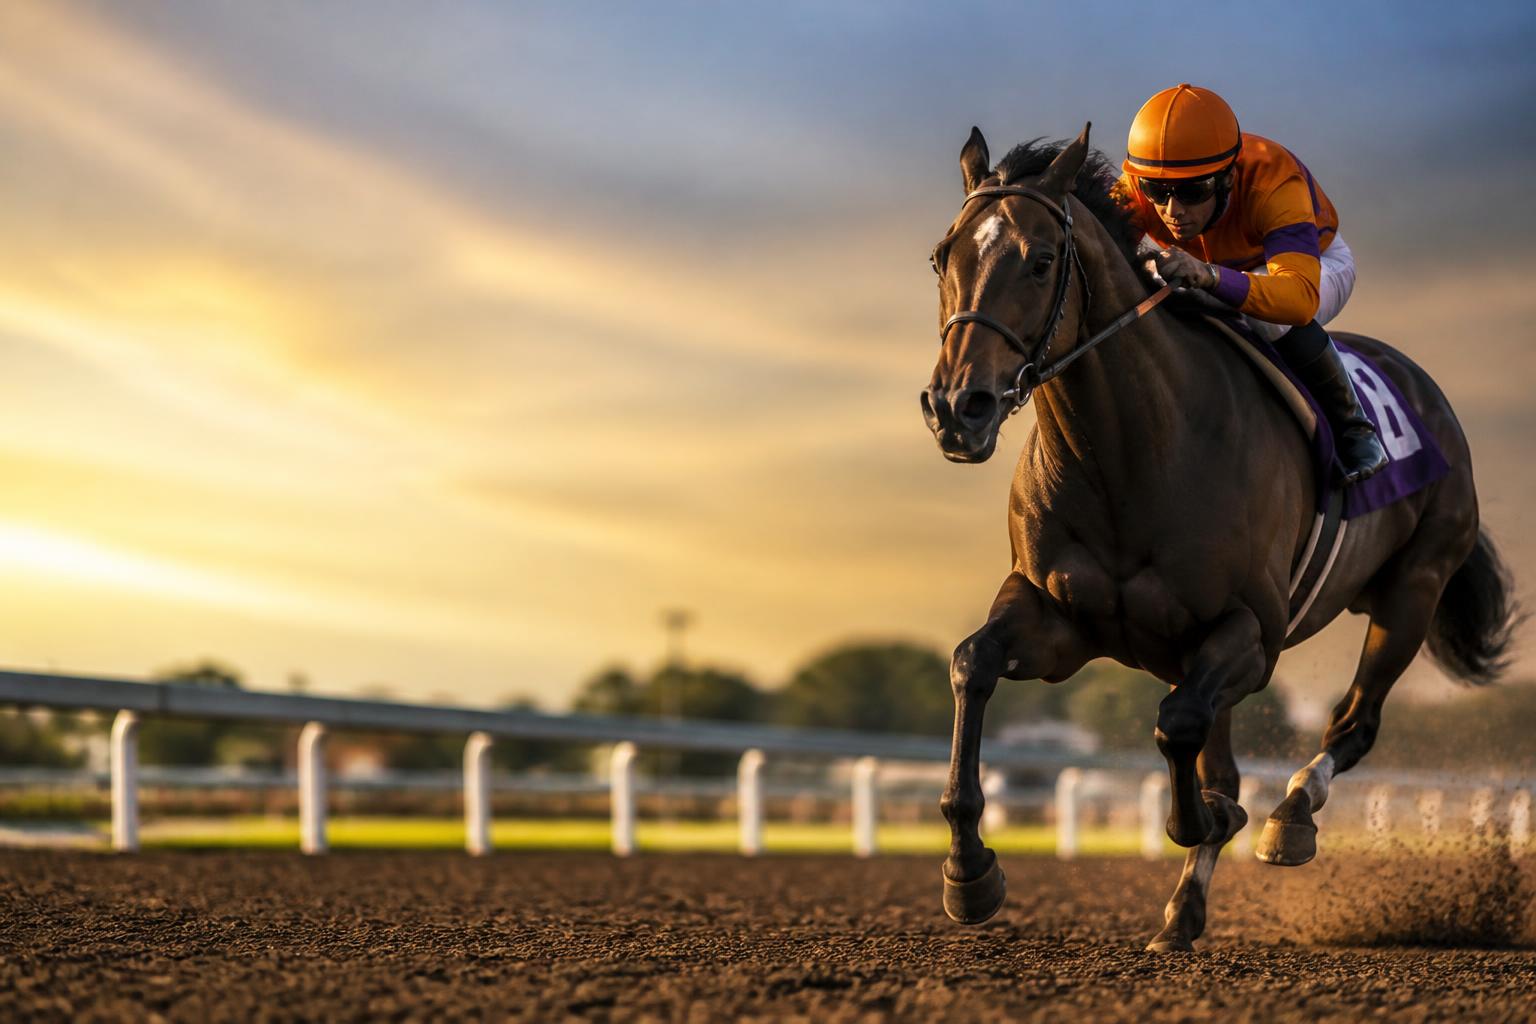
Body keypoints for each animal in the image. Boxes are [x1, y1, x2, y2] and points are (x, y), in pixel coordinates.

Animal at [920, 123, 1517, 952]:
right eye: (943, 257)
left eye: (1040, 260)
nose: (958, 408)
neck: (1130, 455)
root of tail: (1428, 392)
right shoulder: (1058, 617)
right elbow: (971, 664)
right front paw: (969, 871)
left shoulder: (1252, 635)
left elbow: (1179, 730)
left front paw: (1219, 819)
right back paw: (1183, 911)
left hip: (1414, 589)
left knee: (1353, 723)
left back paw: (1289, 818)